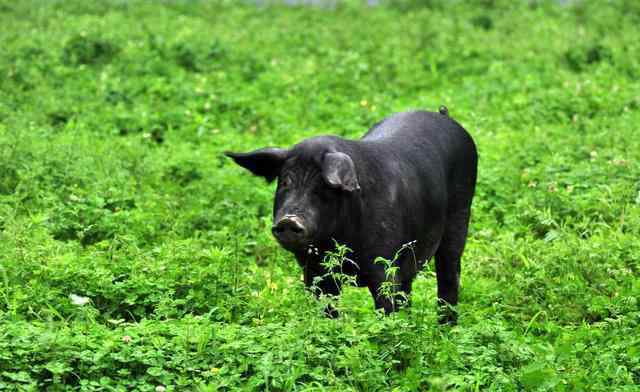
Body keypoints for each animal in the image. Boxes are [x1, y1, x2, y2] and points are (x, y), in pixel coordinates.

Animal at [225, 108, 476, 324]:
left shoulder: (384, 267)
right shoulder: (316, 273)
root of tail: (446, 116)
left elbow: (386, 310)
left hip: (460, 214)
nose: (289, 220)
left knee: (449, 275)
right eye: (285, 182)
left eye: (323, 187)